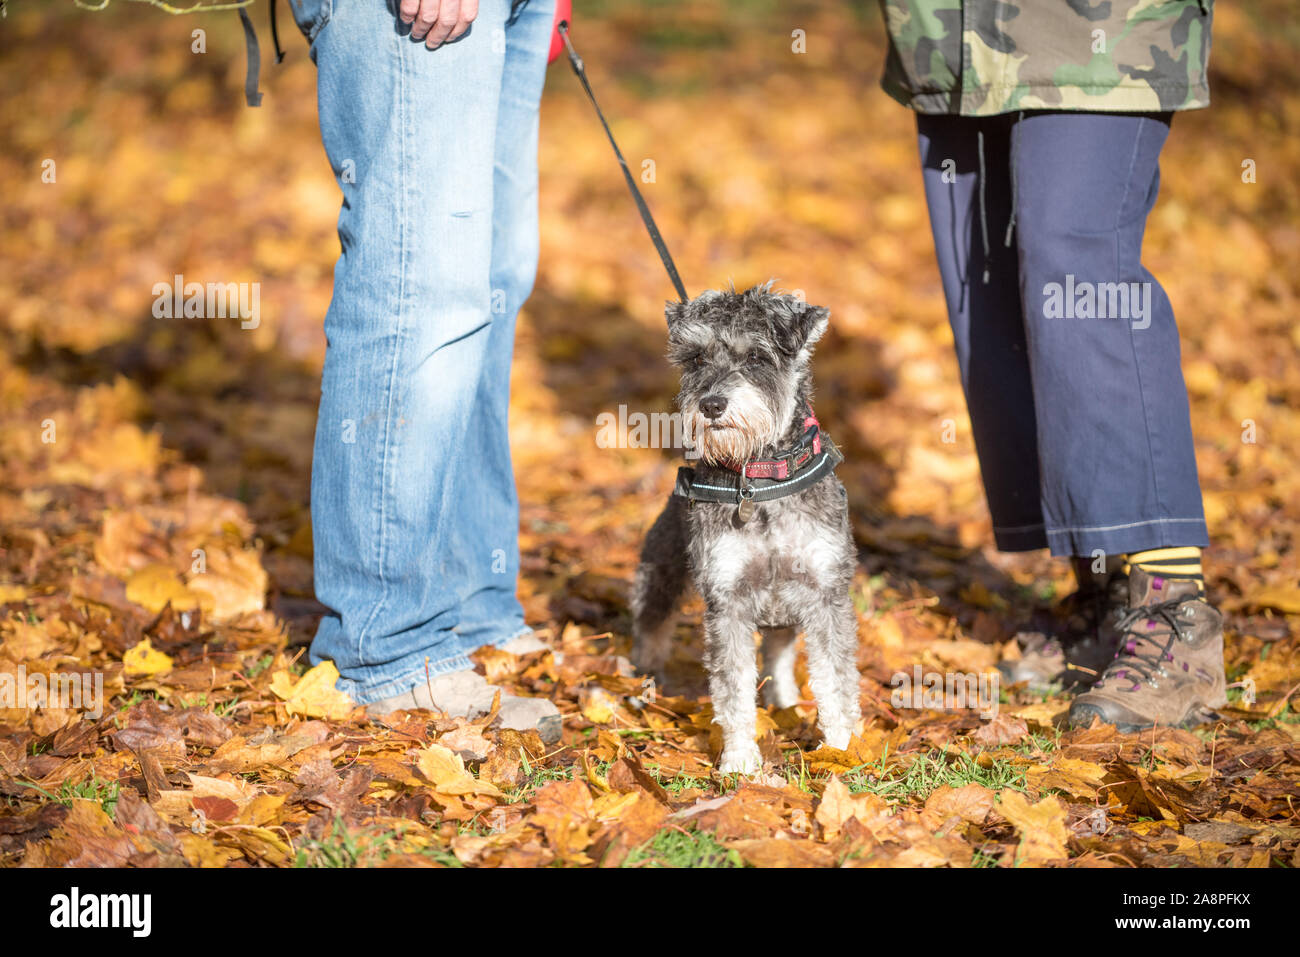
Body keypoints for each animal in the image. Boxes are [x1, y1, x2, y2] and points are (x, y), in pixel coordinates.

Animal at [631, 283, 863, 780]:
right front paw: (739, 760)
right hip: (659, 578)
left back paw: (787, 702)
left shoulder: (825, 595)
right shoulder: (728, 602)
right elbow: (733, 688)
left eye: (757, 356)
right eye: (696, 358)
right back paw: (642, 686)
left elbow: (835, 680)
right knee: (650, 631)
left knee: (779, 653)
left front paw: (841, 747)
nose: (711, 405)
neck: (759, 481)